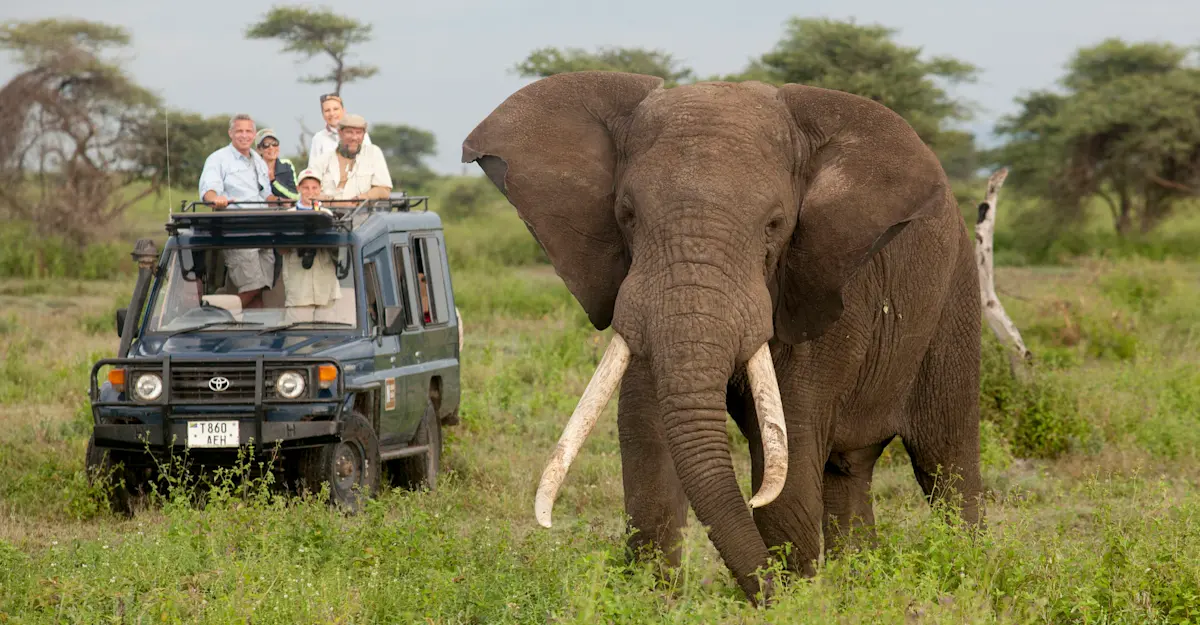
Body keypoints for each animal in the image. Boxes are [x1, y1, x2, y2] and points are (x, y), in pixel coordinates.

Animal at [461, 71, 983, 604]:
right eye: (626, 215)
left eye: (775, 224)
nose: (769, 595)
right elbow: (647, 431)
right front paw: (657, 601)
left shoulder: (824, 284)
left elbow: (790, 448)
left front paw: (793, 602)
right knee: (849, 470)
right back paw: (860, 587)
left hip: (957, 296)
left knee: (947, 460)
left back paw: (966, 573)